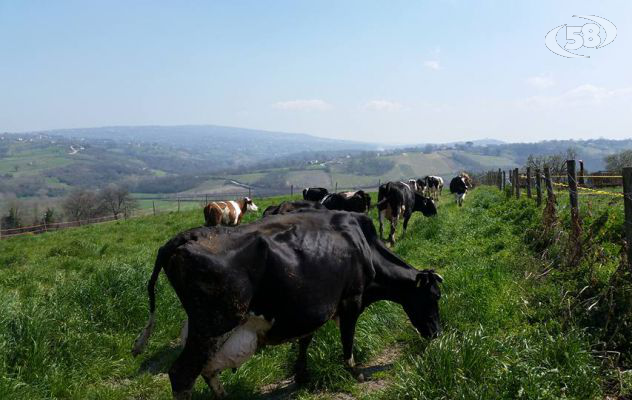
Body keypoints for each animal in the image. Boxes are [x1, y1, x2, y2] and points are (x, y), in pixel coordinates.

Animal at [131, 211, 442, 398]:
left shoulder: (310, 308)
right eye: (434, 296)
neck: (365, 248)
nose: (437, 333)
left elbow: (306, 339)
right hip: (214, 323)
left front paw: (302, 374)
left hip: (208, 327)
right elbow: (347, 341)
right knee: (182, 375)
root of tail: (185, 236)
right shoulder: (351, 300)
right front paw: (357, 373)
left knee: (206, 370)